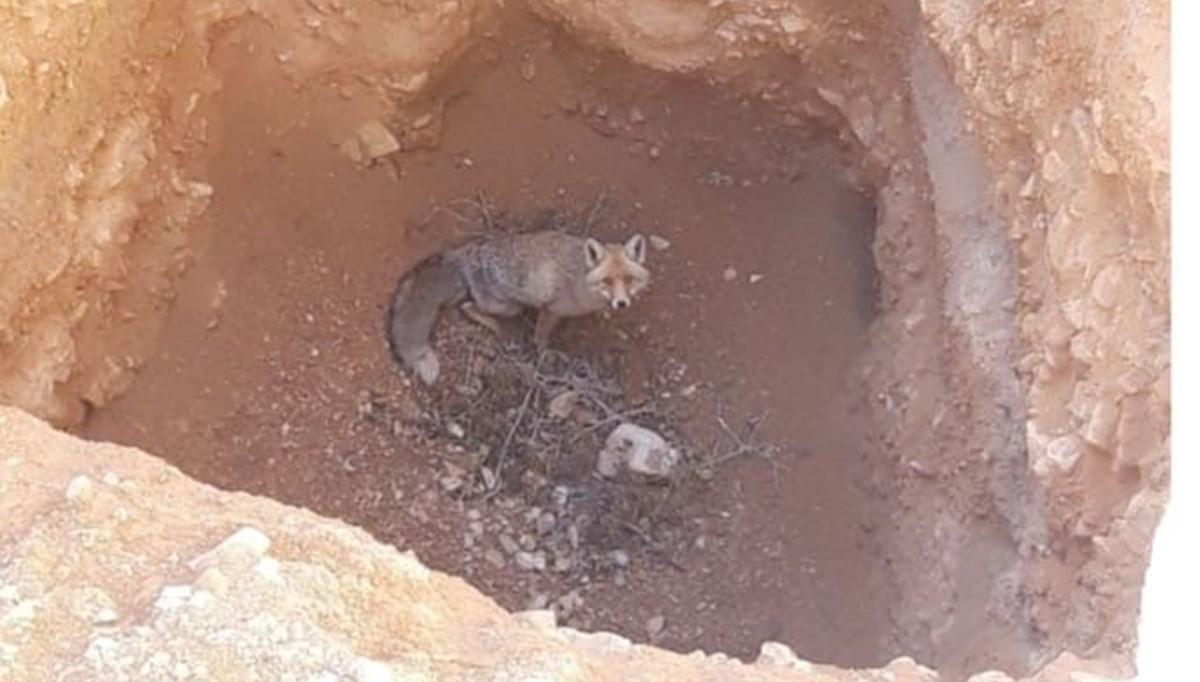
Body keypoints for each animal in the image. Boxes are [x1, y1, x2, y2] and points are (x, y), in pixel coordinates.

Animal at [384, 231, 648, 386]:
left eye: (629, 280)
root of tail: (466, 254)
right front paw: (543, 356)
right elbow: (541, 338)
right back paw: (496, 326)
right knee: (467, 306)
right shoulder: (551, 309)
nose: (621, 304)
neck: (579, 281)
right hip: (510, 307)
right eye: (607, 281)